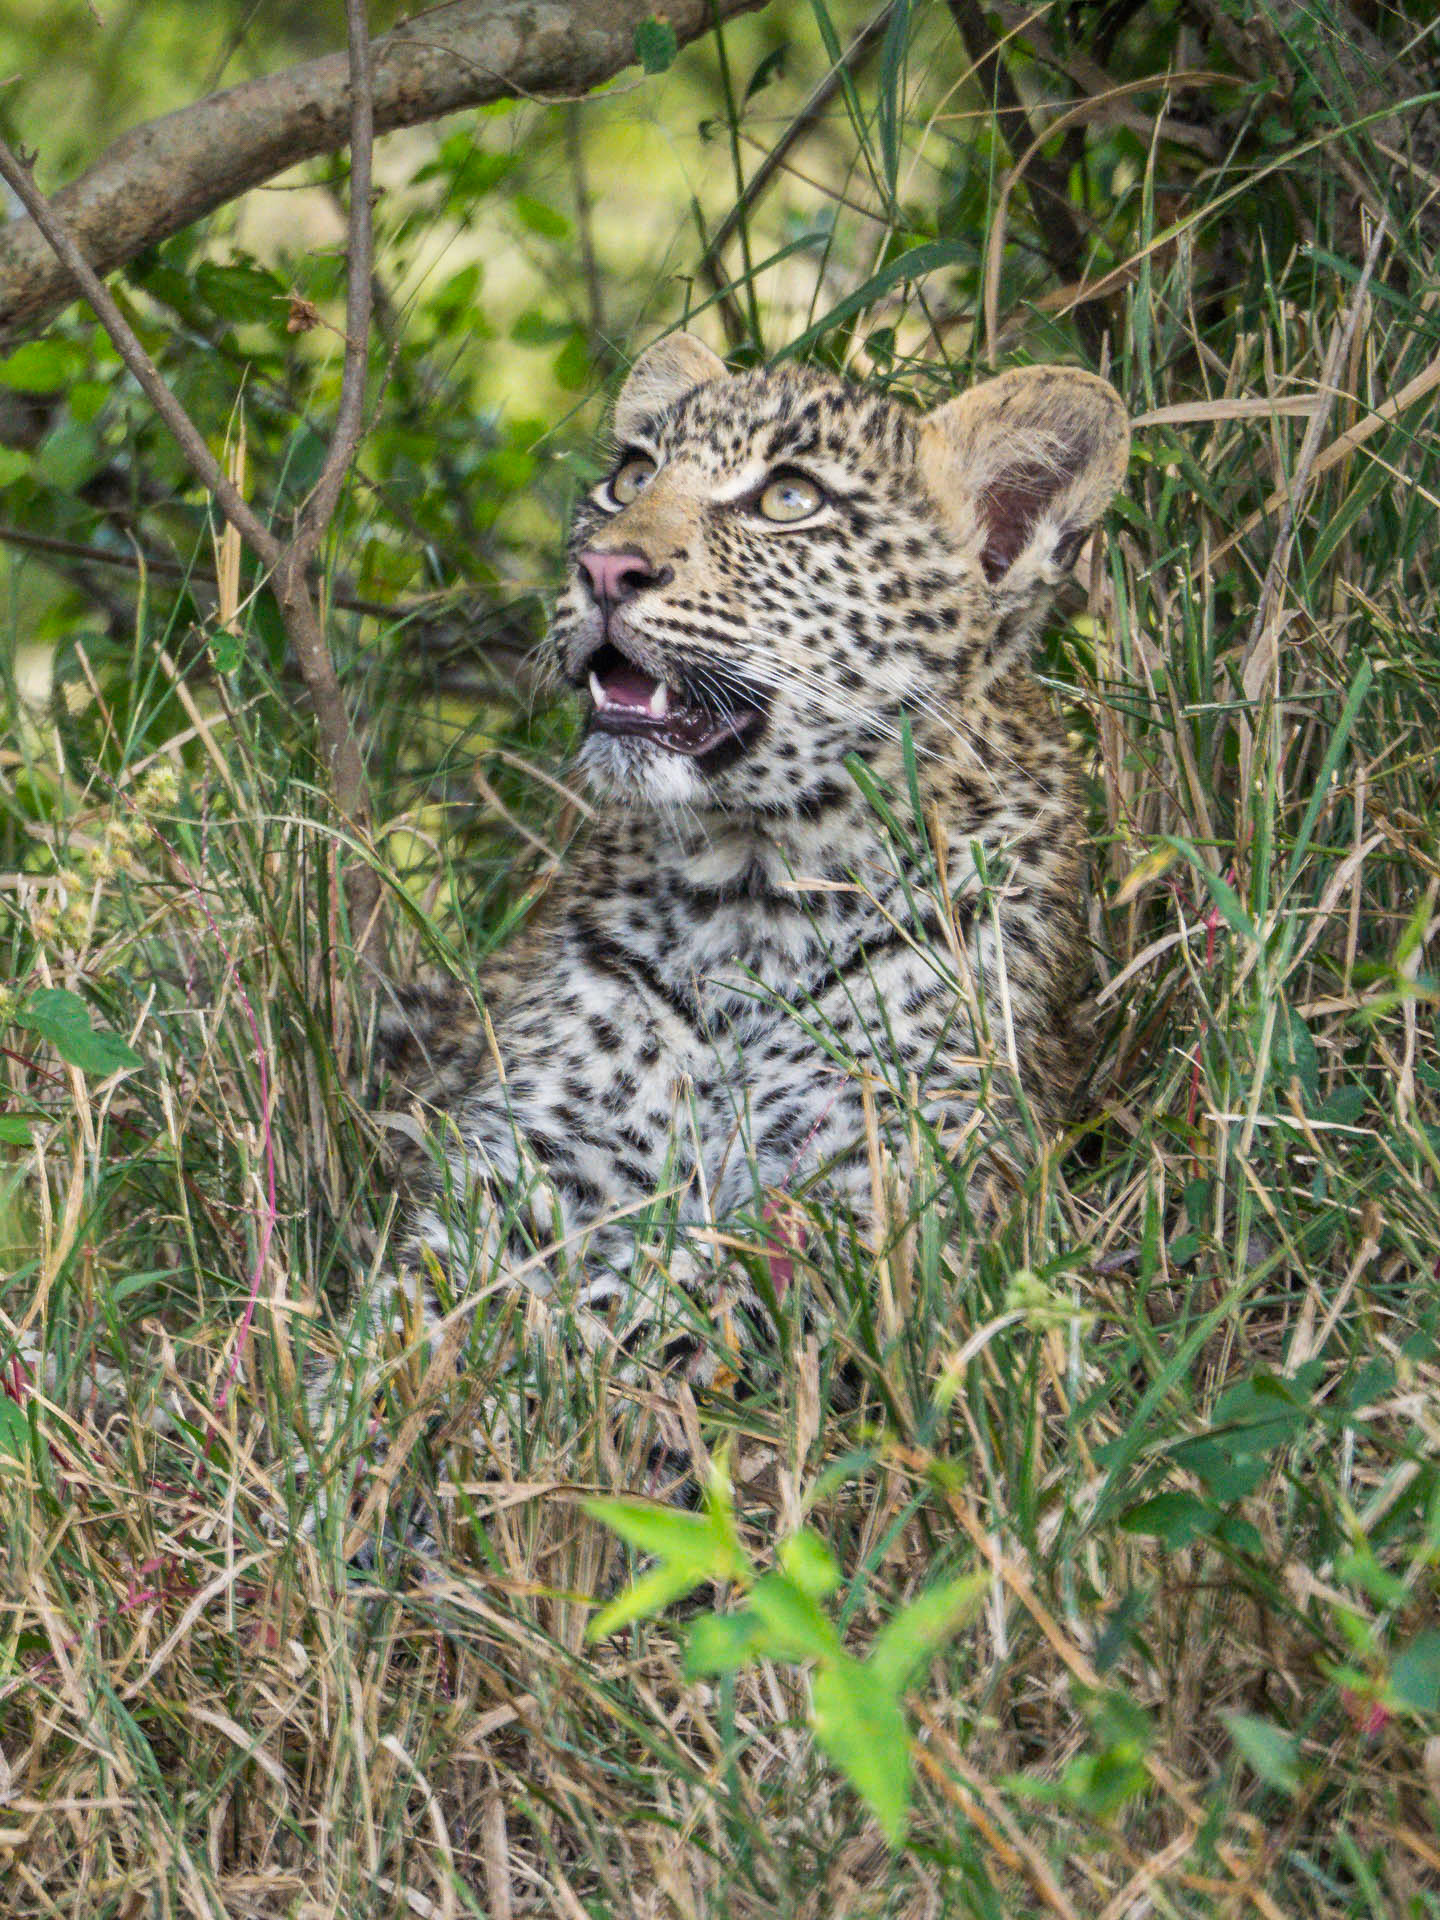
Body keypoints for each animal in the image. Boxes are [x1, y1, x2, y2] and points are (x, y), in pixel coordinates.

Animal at [364, 332, 1129, 1392]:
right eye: (629, 477)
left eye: (789, 500)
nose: (605, 567)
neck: (750, 892)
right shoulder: (531, 1157)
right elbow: (421, 1312)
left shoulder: (873, 1195)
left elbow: (655, 1323)